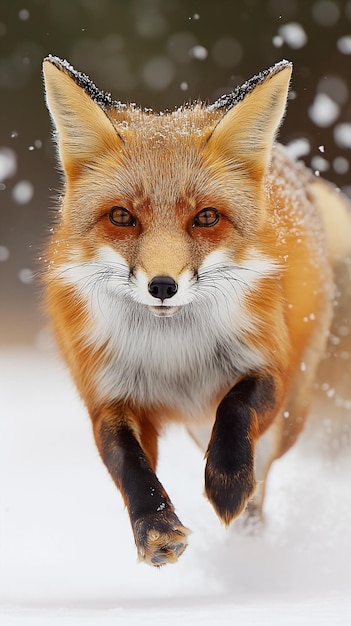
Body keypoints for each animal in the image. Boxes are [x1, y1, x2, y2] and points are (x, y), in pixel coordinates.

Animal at [42, 57, 350, 564]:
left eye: (206, 217)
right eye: (122, 217)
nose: (162, 286)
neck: (175, 358)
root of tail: (288, 161)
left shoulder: (272, 366)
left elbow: (236, 409)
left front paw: (227, 483)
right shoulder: (107, 395)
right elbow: (130, 467)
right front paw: (156, 528)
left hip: (292, 412)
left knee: (261, 476)